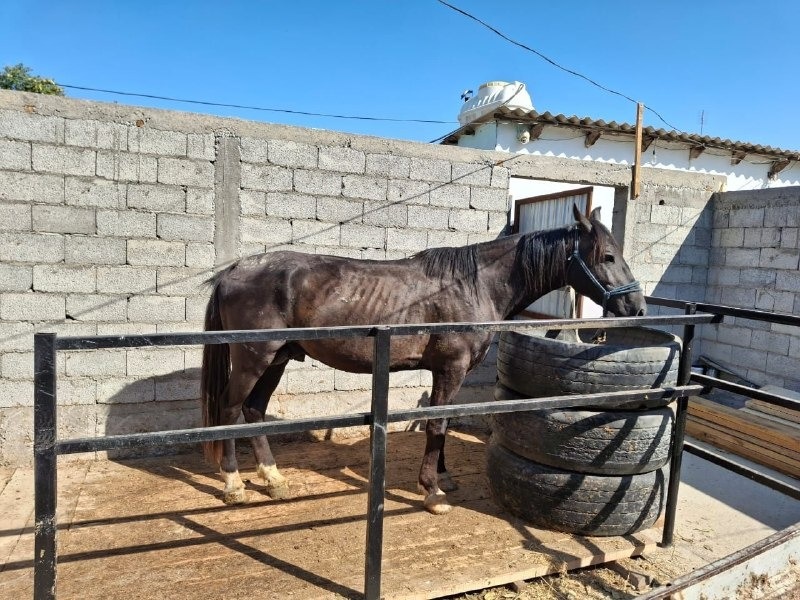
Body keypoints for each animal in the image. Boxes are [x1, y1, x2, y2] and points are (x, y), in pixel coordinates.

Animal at [200, 205, 644, 510]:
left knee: (254, 410)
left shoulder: (443, 371)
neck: (473, 284)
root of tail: (233, 271)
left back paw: (273, 479)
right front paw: (432, 491)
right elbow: (437, 424)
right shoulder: (451, 368)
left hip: (277, 359)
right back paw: (234, 485)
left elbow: (440, 421)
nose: (637, 307)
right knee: (230, 409)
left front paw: (443, 478)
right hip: (254, 358)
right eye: (607, 256)